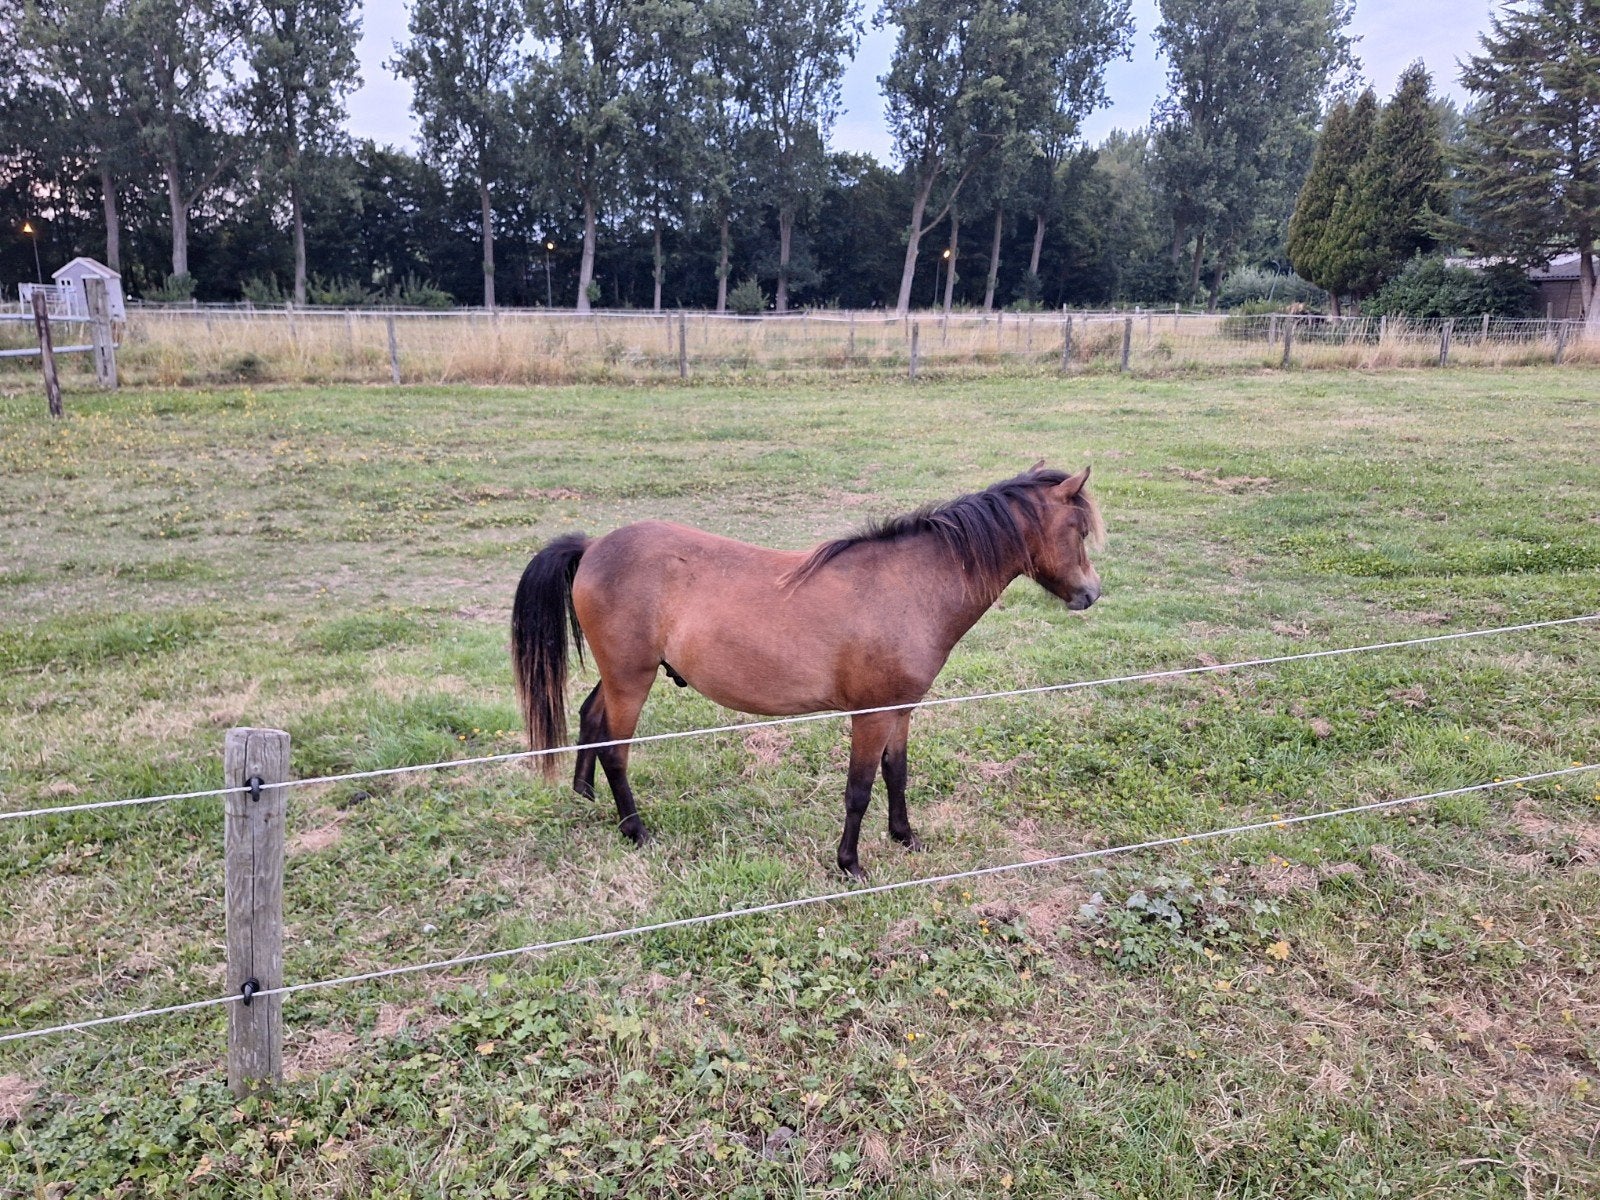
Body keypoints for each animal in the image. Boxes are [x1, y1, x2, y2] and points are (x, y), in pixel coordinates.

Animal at [511, 462, 1104, 877]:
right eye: (1077, 528)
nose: (1090, 595)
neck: (908, 587)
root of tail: (593, 546)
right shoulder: (870, 716)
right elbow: (859, 789)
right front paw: (850, 864)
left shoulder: (900, 711)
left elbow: (897, 774)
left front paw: (905, 837)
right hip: (632, 679)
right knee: (616, 749)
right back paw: (635, 830)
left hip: (623, 675)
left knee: (591, 717)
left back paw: (586, 796)